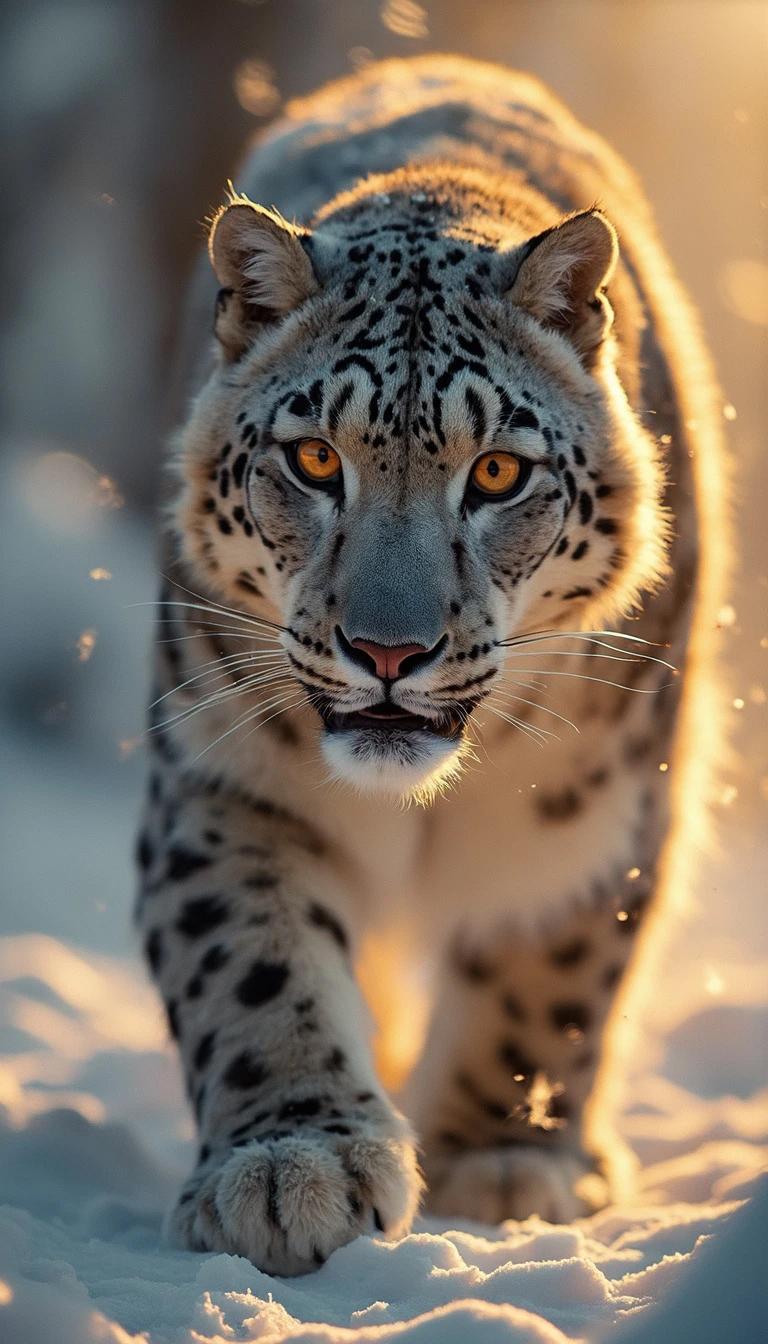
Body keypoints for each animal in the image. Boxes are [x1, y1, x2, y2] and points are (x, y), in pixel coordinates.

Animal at [135, 55, 731, 1268]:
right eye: (316, 459)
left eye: (497, 472)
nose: (388, 651)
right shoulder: (225, 776)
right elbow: (250, 953)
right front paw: (294, 1167)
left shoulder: (591, 806)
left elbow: (545, 974)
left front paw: (496, 1162)